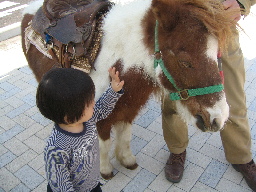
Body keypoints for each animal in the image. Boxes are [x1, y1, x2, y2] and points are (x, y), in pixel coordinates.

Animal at [21, 0, 234, 179]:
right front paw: (105, 170)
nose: (218, 119)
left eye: (217, 54)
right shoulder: (99, 116)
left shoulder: (128, 108)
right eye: (185, 62)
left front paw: (126, 160)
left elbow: (125, 136)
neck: (118, 61)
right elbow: (104, 143)